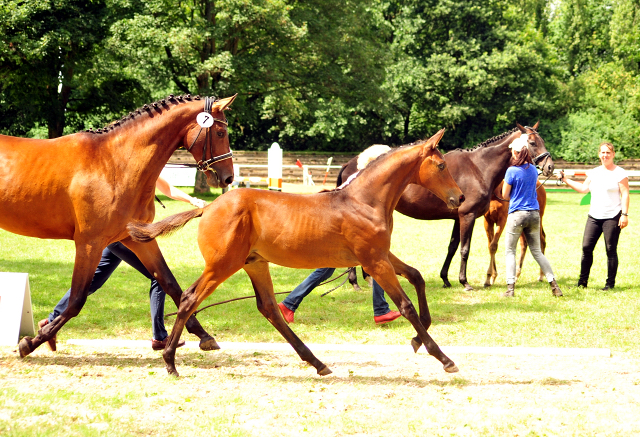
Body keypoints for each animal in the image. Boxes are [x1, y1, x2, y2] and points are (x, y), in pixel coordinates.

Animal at [0, 93, 235, 356]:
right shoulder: (89, 244)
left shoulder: (136, 239)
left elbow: (169, 283)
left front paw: (204, 335)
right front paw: (31, 342)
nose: (228, 177)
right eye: (220, 133)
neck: (115, 164)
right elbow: (77, 299)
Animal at [126, 127, 464, 376]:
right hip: (223, 265)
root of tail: (208, 207)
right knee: (189, 299)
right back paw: (170, 361)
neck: (363, 201)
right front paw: (442, 357)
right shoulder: (374, 260)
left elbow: (417, 277)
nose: (459, 198)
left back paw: (317, 363)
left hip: (253, 263)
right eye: (442, 165)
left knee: (269, 309)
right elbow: (405, 305)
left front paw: (417, 340)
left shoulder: (380, 255)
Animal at [340, 122, 556, 290]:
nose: (550, 166)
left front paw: (445, 279)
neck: (479, 168)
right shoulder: (468, 216)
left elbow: (452, 247)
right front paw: (464, 282)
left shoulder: (457, 218)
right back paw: (357, 282)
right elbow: (465, 249)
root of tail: (350, 164)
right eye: (532, 142)